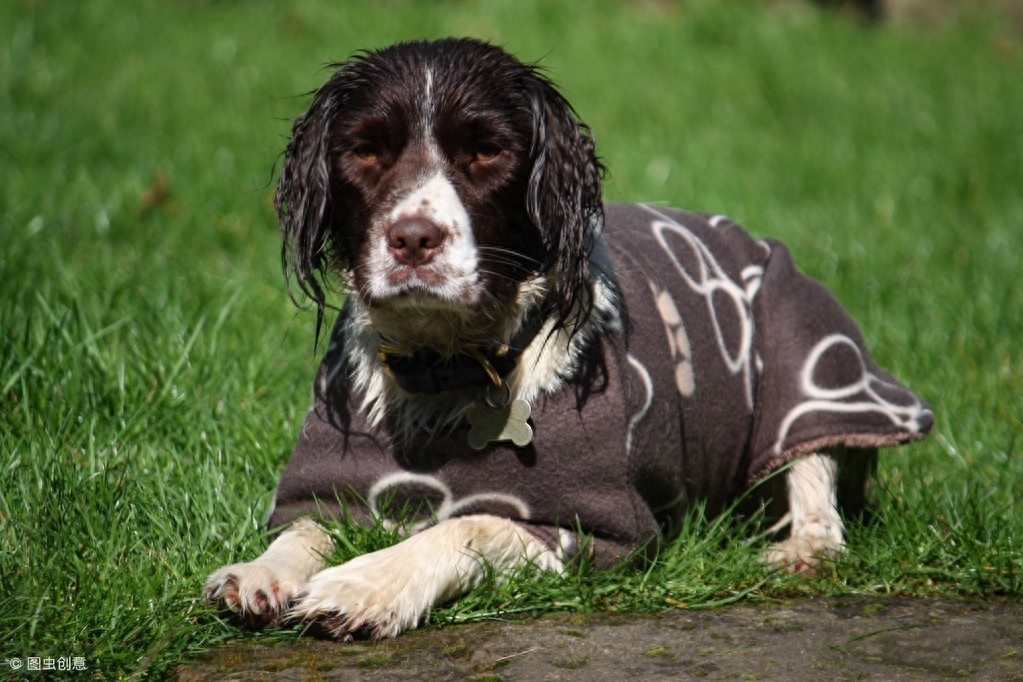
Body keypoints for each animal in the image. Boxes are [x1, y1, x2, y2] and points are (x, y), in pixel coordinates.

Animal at [203, 37, 932, 642]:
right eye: (366, 151)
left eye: (486, 151)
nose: (412, 239)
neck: (450, 365)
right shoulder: (340, 483)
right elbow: (305, 527)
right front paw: (258, 572)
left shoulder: (593, 530)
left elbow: (470, 522)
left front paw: (366, 585)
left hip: (804, 349)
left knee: (815, 474)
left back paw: (803, 548)